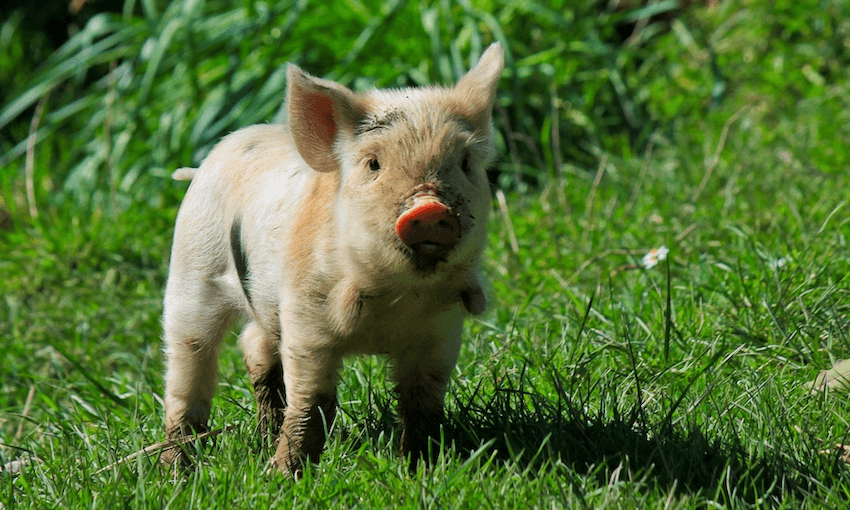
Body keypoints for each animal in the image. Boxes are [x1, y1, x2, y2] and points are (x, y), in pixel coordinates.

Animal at [161, 43, 504, 478]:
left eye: (465, 163)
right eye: (373, 164)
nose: (427, 207)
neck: (397, 301)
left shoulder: (442, 332)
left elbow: (421, 404)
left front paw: (421, 470)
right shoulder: (307, 323)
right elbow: (313, 405)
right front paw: (283, 478)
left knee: (253, 344)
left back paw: (262, 438)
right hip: (191, 272)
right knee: (188, 367)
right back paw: (175, 472)